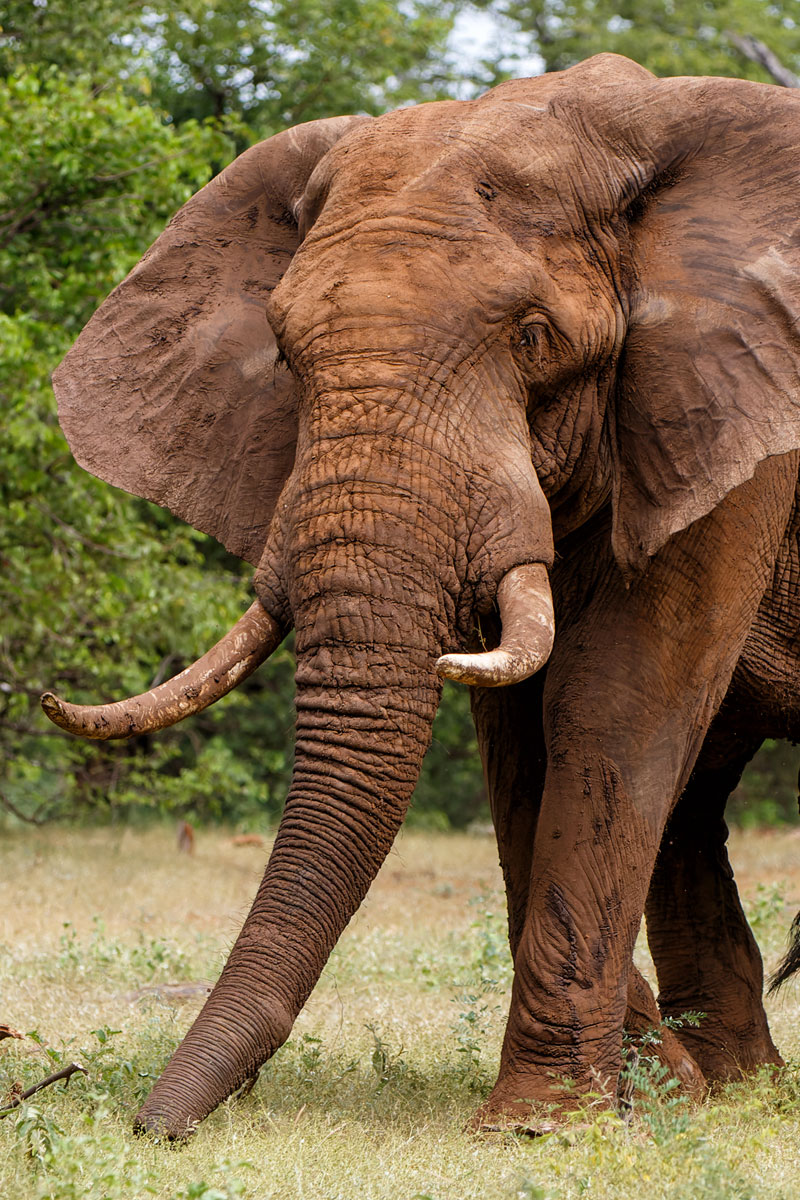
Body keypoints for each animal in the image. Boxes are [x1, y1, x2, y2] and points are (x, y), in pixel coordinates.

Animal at [41, 52, 800, 1137]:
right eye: (283, 353)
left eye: (533, 336)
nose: (153, 1127)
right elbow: (522, 737)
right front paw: (638, 1100)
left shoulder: (728, 415)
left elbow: (612, 699)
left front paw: (539, 1125)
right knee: (694, 798)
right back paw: (734, 1091)